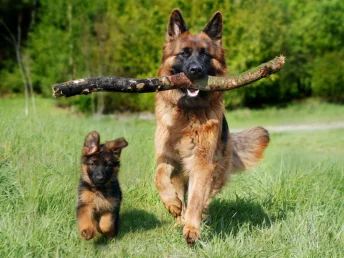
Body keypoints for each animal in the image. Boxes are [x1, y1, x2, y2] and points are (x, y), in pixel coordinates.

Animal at [155, 9, 270, 244]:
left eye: (205, 55)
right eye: (184, 54)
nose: (195, 70)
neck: (187, 113)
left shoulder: (202, 164)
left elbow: (196, 198)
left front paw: (192, 229)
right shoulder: (167, 157)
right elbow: (159, 176)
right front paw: (171, 203)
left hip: (215, 171)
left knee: (203, 198)